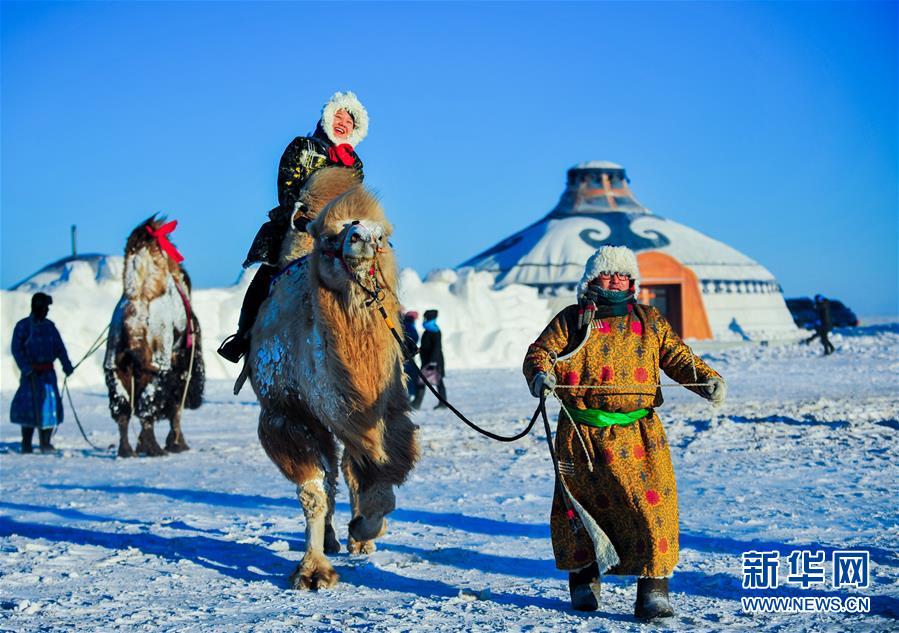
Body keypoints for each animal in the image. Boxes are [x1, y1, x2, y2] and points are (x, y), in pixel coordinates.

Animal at [250, 167, 422, 588]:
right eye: (332, 237)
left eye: (385, 236)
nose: (364, 237)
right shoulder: (286, 414)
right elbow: (313, 492)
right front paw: (313, 572)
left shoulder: (385, 412)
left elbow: (381, 480)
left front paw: (365, 529)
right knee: (328, 476)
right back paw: (328, 539)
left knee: (345, 468)